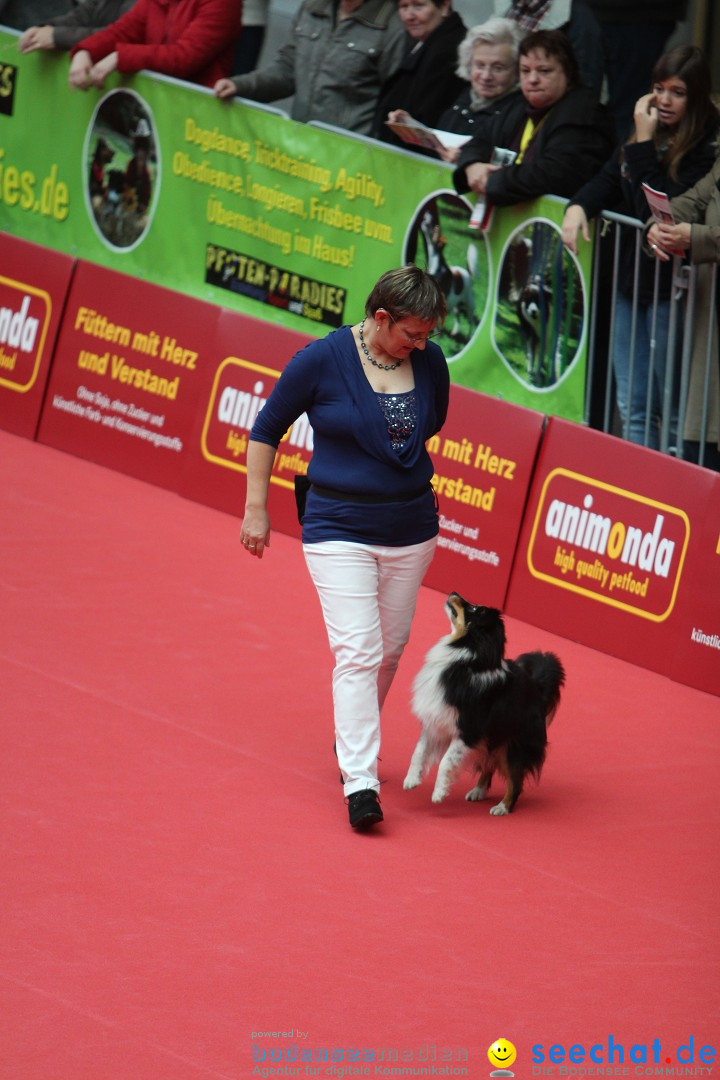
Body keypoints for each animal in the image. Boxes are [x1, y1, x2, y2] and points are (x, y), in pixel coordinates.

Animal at [403, 596, 565, 812]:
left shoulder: (468, 731)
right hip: (494, 738)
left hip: (512, 746)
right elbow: (419, 751)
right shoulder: (435, 720)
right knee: (490, 763)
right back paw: (478, 791)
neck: (467, 660)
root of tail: (537, 689)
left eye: (473, 609)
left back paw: (502, 807)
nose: (453, 593)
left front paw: (439, 793)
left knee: (515, 780)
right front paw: (411, 779)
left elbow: (447, 760)